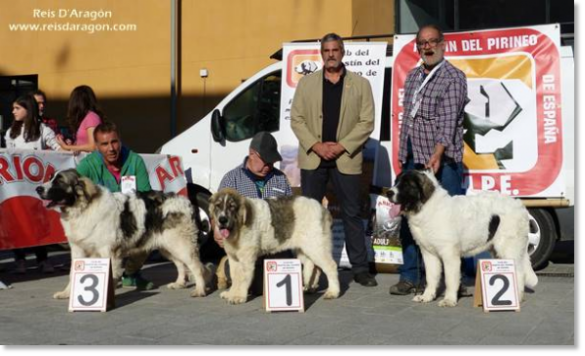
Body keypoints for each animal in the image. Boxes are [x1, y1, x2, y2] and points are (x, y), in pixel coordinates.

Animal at [37, 168, 210, 298]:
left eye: (59, 181)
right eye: (50, 178)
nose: (38, 189)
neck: (83, 207)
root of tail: (186, 202)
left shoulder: (108, 252)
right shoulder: (78, 250)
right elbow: (72, 273)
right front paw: (67, 293)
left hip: (181, 245)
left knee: (196, 267)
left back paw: (200, 290)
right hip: (168, 247)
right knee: (181, 265)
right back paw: (179, 283)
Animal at [209, 188, 338, 304]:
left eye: (232, 206)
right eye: (218, 206)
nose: (222, 220)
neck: (238, 227)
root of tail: (323, 209)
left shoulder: (246, 258)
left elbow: (242, 278)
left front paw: (238, 297)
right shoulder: (233, 258)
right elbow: (235, 277)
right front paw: (231, 293)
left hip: (315, 245)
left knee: (330, 265)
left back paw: (333, 292)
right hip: (304, 248)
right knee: (313, 266)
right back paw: (309, 288)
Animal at [386, 170, 536, 306]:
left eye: (406, 185)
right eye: (396, 182)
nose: (388, 193)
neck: (425, 208)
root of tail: (519, 204)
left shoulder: (449, 255)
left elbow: (450, 279)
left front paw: (449, 300)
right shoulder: (429, 254)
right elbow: (431, 277)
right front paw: (426, 296)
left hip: (509, 248)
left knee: (519, 272)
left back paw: (517, 296)